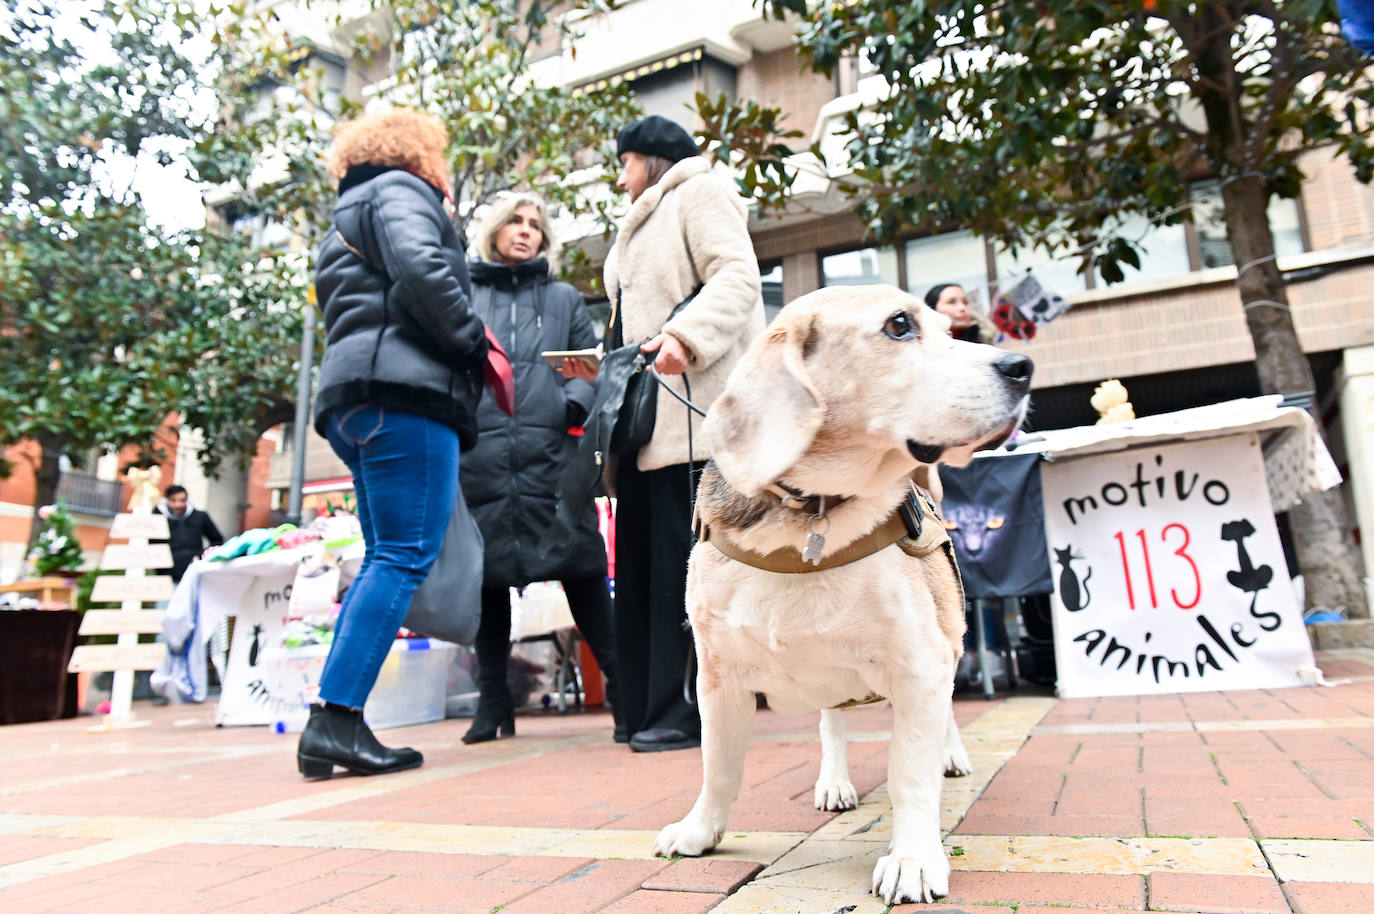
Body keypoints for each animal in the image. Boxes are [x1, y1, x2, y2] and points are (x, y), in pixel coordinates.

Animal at [654, 285, 1033, 907]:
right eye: (900, 325)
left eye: (947, 329)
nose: (1023, 367)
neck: (809, 516)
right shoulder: (717, 679)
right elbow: (718, 768)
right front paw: (699, 831)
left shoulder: (920, 667)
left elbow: (910, 777)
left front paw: (912, 859)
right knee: (832, 720)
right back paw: (835, 780)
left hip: (948, 635)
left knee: (945, 715)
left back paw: (950, 754)